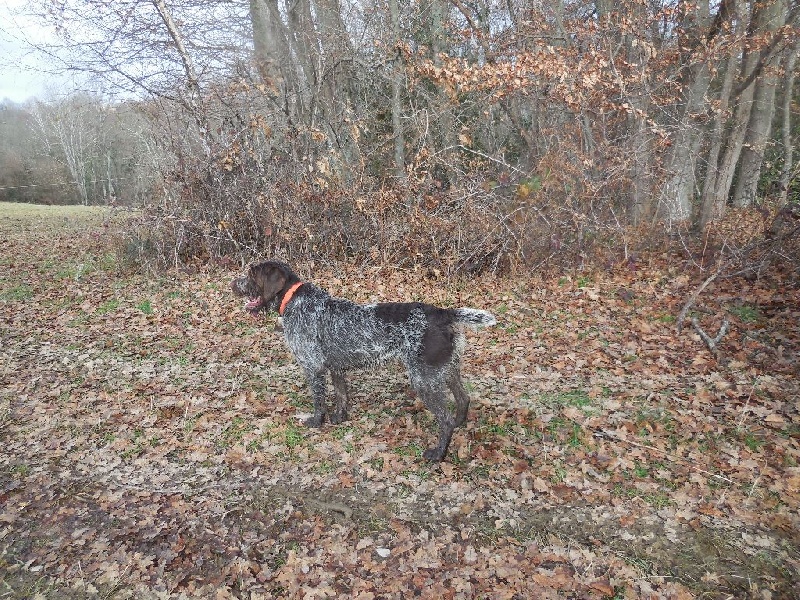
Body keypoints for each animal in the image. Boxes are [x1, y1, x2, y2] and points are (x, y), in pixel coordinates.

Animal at [231, 261, 496, 461]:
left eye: (251, 274)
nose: (232, 284)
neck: (293, 301)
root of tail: (443, 313)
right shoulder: (335, 368)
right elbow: (341, 395)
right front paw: (339, 418)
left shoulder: (313, 367)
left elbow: (319, 401)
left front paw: (316, 422)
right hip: (447, 369)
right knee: (463, 399)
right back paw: (460, 424)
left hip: (424, 380)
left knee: (445, 419)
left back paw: (438, 454)